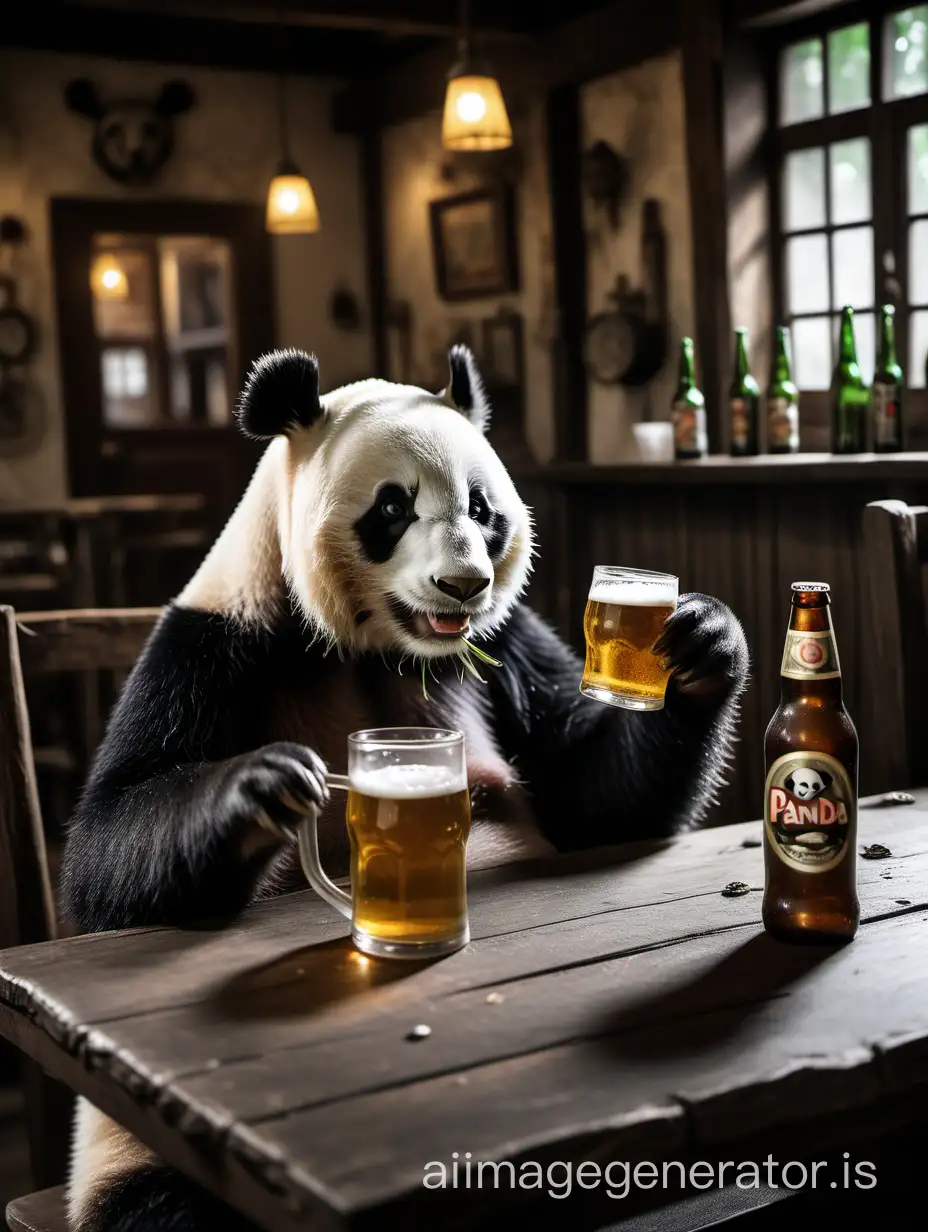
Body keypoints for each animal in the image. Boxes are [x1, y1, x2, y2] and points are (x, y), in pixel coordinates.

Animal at [59, 347, 744, 1232]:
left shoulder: (502, 651)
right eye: (393, 507)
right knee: (160, 1206)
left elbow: (594, 797)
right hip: (138, 1160)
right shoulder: (216, 645)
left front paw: (701, 642)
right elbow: (104, 860)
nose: (464, 584)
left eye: (482, 508)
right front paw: (255, 792)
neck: (379, 646)